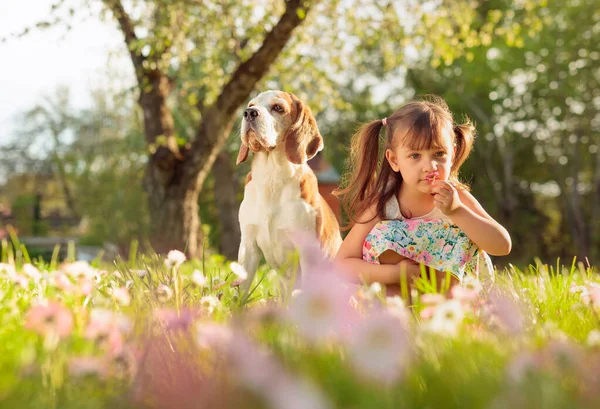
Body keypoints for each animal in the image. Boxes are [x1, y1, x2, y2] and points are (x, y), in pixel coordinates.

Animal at [238, 90, 342, 290]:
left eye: (278, 108)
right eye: (251, 105)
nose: (249, 113)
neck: (272, 178)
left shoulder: (307, 254)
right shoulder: (248, 247)